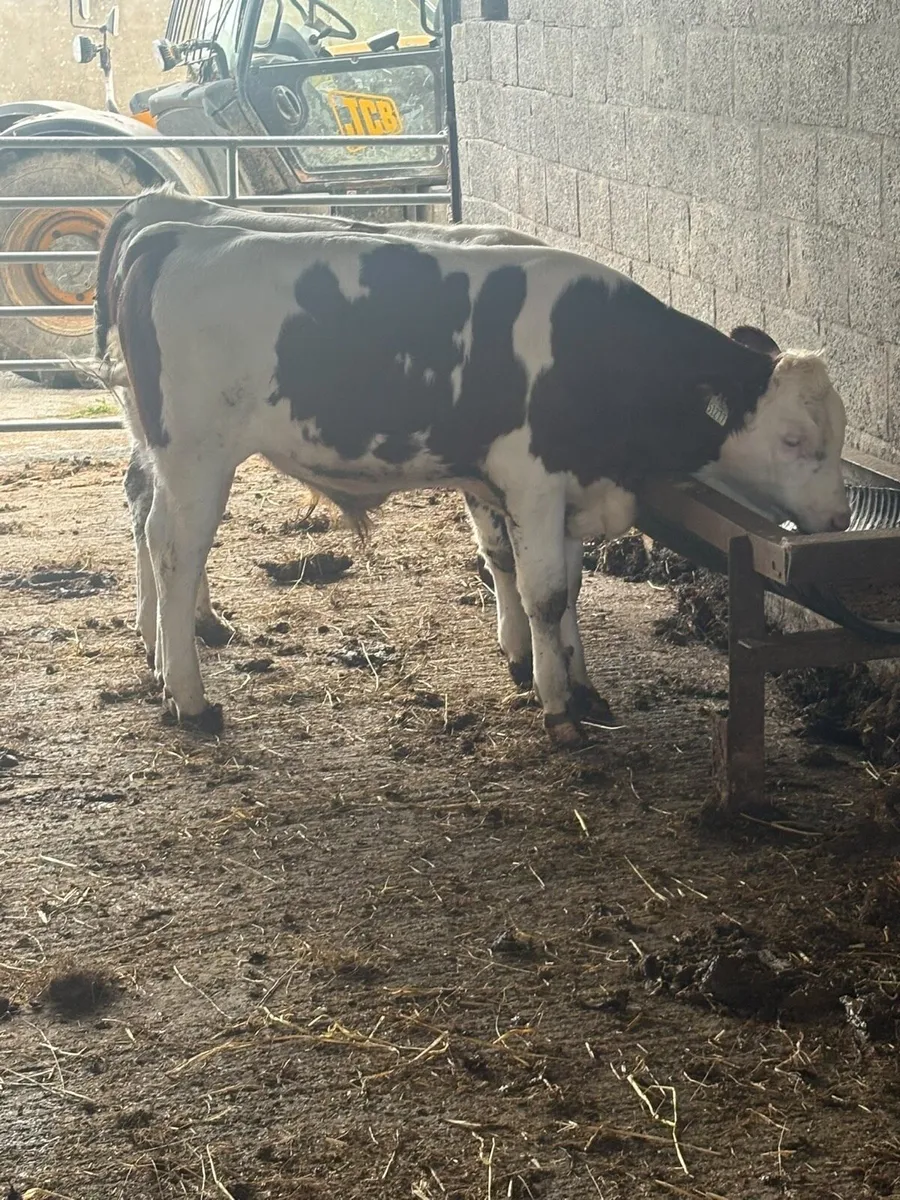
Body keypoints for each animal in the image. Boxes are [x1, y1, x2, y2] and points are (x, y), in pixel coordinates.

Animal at [112, 221, 850, 744]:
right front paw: (558, 710)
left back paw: (161, 667)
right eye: (793, 439)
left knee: (146, 525)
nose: (840, 520)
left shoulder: (566, 489)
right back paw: (190, 698)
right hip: (198, 458)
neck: (601, 352)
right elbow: (544, 594)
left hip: (164, 454)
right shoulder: (533, 480)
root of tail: (176, 235)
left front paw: (582, 683)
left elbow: (567, 588)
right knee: (175, 555)